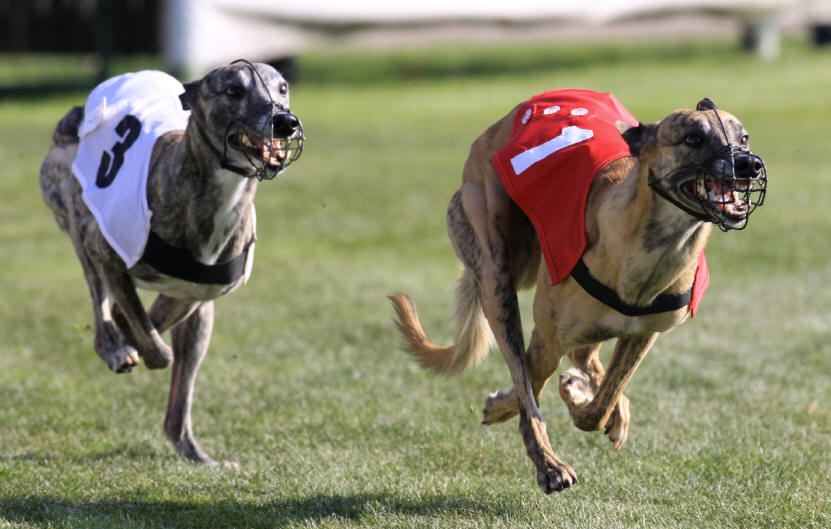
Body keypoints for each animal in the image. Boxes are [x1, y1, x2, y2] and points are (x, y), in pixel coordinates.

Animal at [39, 60, 304, 466]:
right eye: (233, 90)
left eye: (283, 88)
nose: (284, 122)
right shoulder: (104, 249)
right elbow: (148, 336)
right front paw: (129, 345)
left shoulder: (198, 290)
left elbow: (148, 321)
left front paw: (132, 333)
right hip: (75, 210)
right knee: (101, 304)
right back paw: (114, 348)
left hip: (199, 322)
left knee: (178, 395)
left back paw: (196, 454)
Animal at [391, 90, 766, 493]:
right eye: (693, 138)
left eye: (743, 138)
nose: (750, 165)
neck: (644, 250)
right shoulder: (546, 341)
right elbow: (528, 394)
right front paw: (542, 449)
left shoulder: (644, 333)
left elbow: (602, 403)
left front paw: (580, 395)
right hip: (495, 271)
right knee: (524, 362)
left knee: (586, 362)